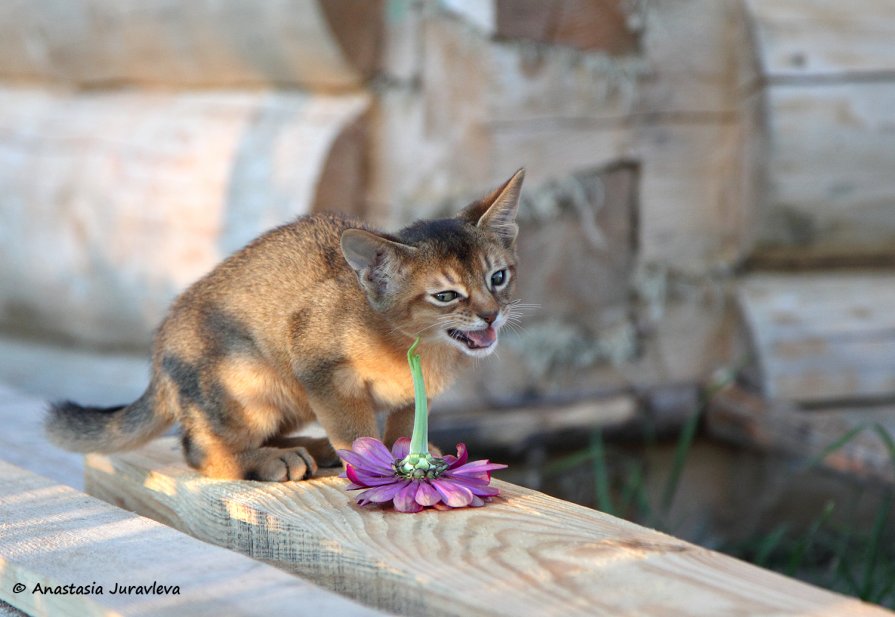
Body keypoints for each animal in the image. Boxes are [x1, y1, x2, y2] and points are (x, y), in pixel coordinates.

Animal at [47, 168, 524, 482]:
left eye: (498, 277)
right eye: (446, 296)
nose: (490, 314)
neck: (418, 348)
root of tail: (160, 351)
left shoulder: (411, 397)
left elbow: (405, 427)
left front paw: (410, 456)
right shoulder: (321, 370)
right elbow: (356, 433)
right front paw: (374, 470)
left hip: (289, 400)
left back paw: (310, 447)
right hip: (250, 383)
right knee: (197, 451)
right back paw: (270, 460)